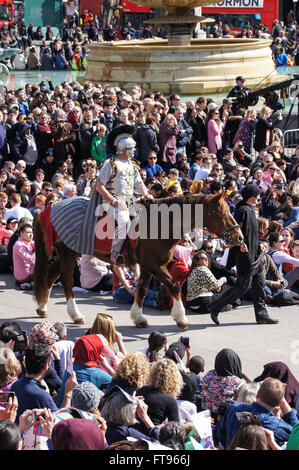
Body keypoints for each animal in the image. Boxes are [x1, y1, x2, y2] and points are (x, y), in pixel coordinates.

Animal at [33, 193, 244, 328]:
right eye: (221, 212)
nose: (240, 237)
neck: (160, 224)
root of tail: (51, 207)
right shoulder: (154, 265)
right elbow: (174, 285)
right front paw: (181, 318)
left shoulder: (148, 266)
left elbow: (141, 290)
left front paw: (138, 317)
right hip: (66, 252)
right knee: (68, 281)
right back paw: (75, 314)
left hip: (70, 251)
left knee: (52, 276)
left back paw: (42, 307)